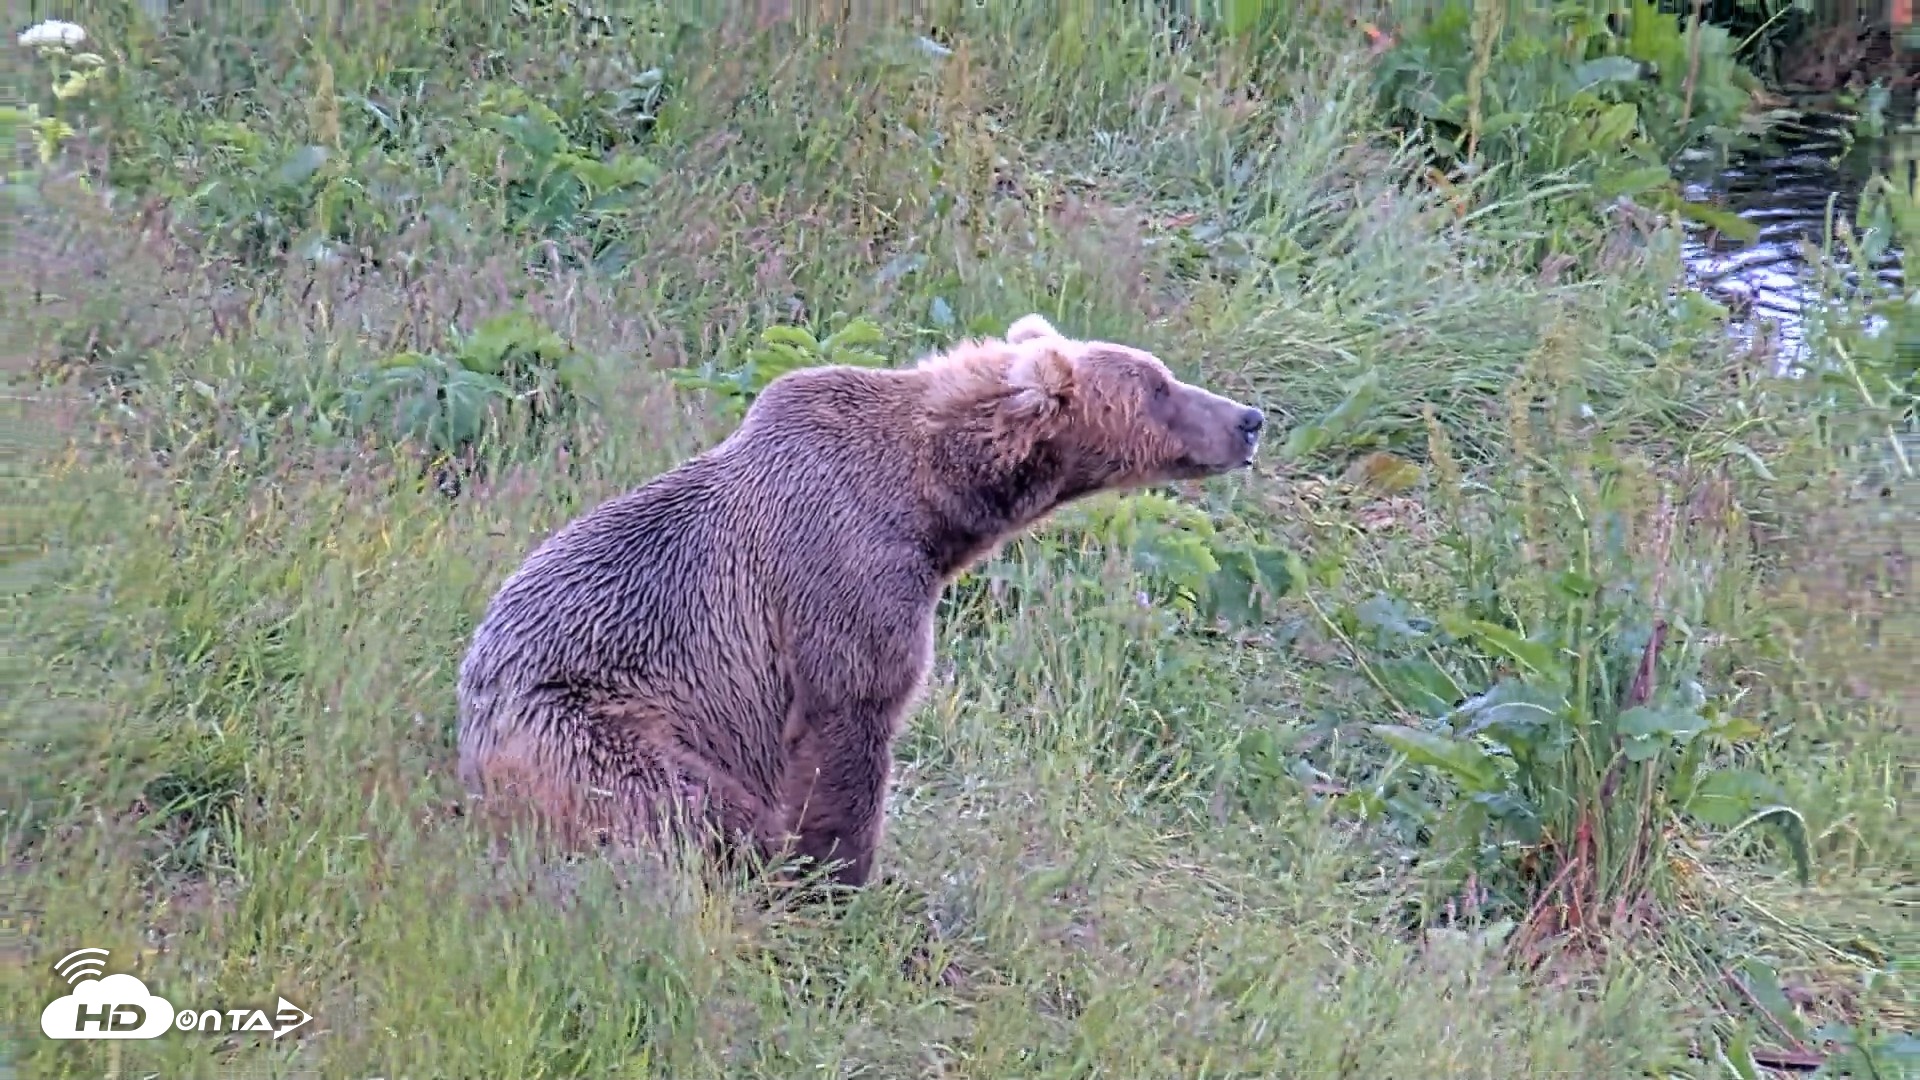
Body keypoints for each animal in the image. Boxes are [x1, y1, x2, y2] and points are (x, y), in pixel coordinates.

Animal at [454, 313, 1265, 887]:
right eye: (1157, 386)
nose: (1250, 419)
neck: (932, 500)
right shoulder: (843, 566)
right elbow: (854, 713)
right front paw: (840, 876)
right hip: (587, 726)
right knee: (686, 807)